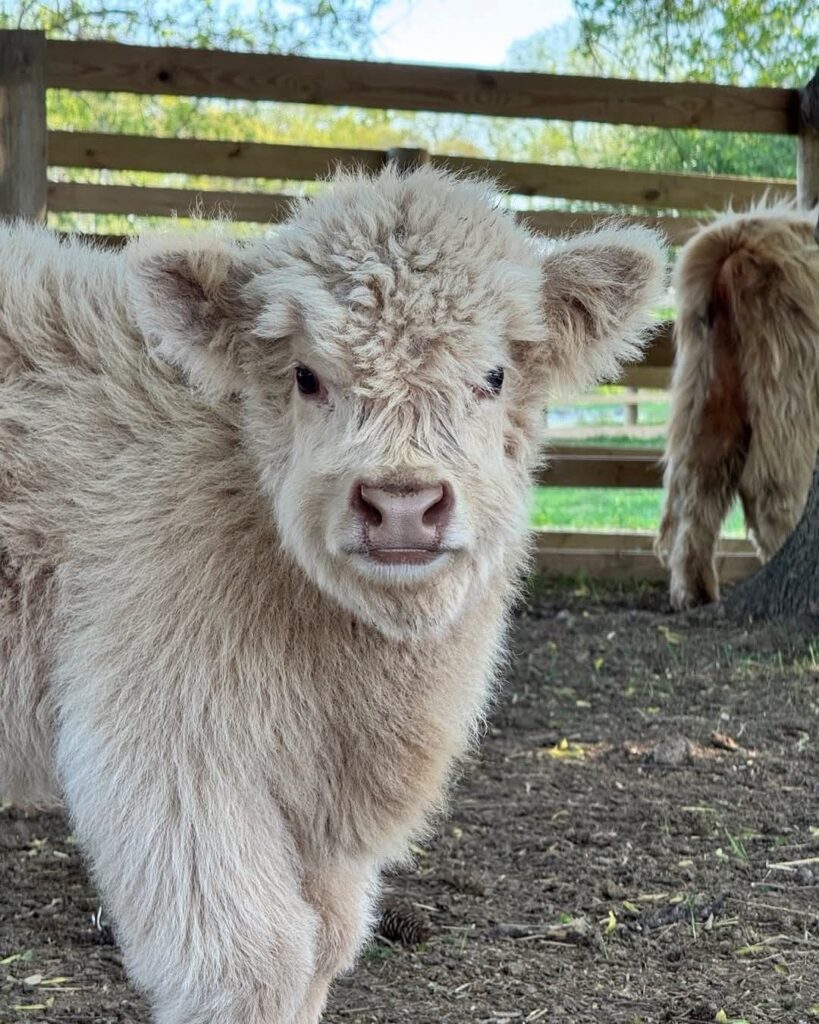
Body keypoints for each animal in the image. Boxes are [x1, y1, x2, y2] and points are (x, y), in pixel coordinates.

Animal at [0, 167, 665, 1023]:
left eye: (493, 376)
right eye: (306, 376)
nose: (402, 504)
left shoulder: (321, 800)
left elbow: (327, 941)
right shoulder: (167, 745)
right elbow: (251, 958)